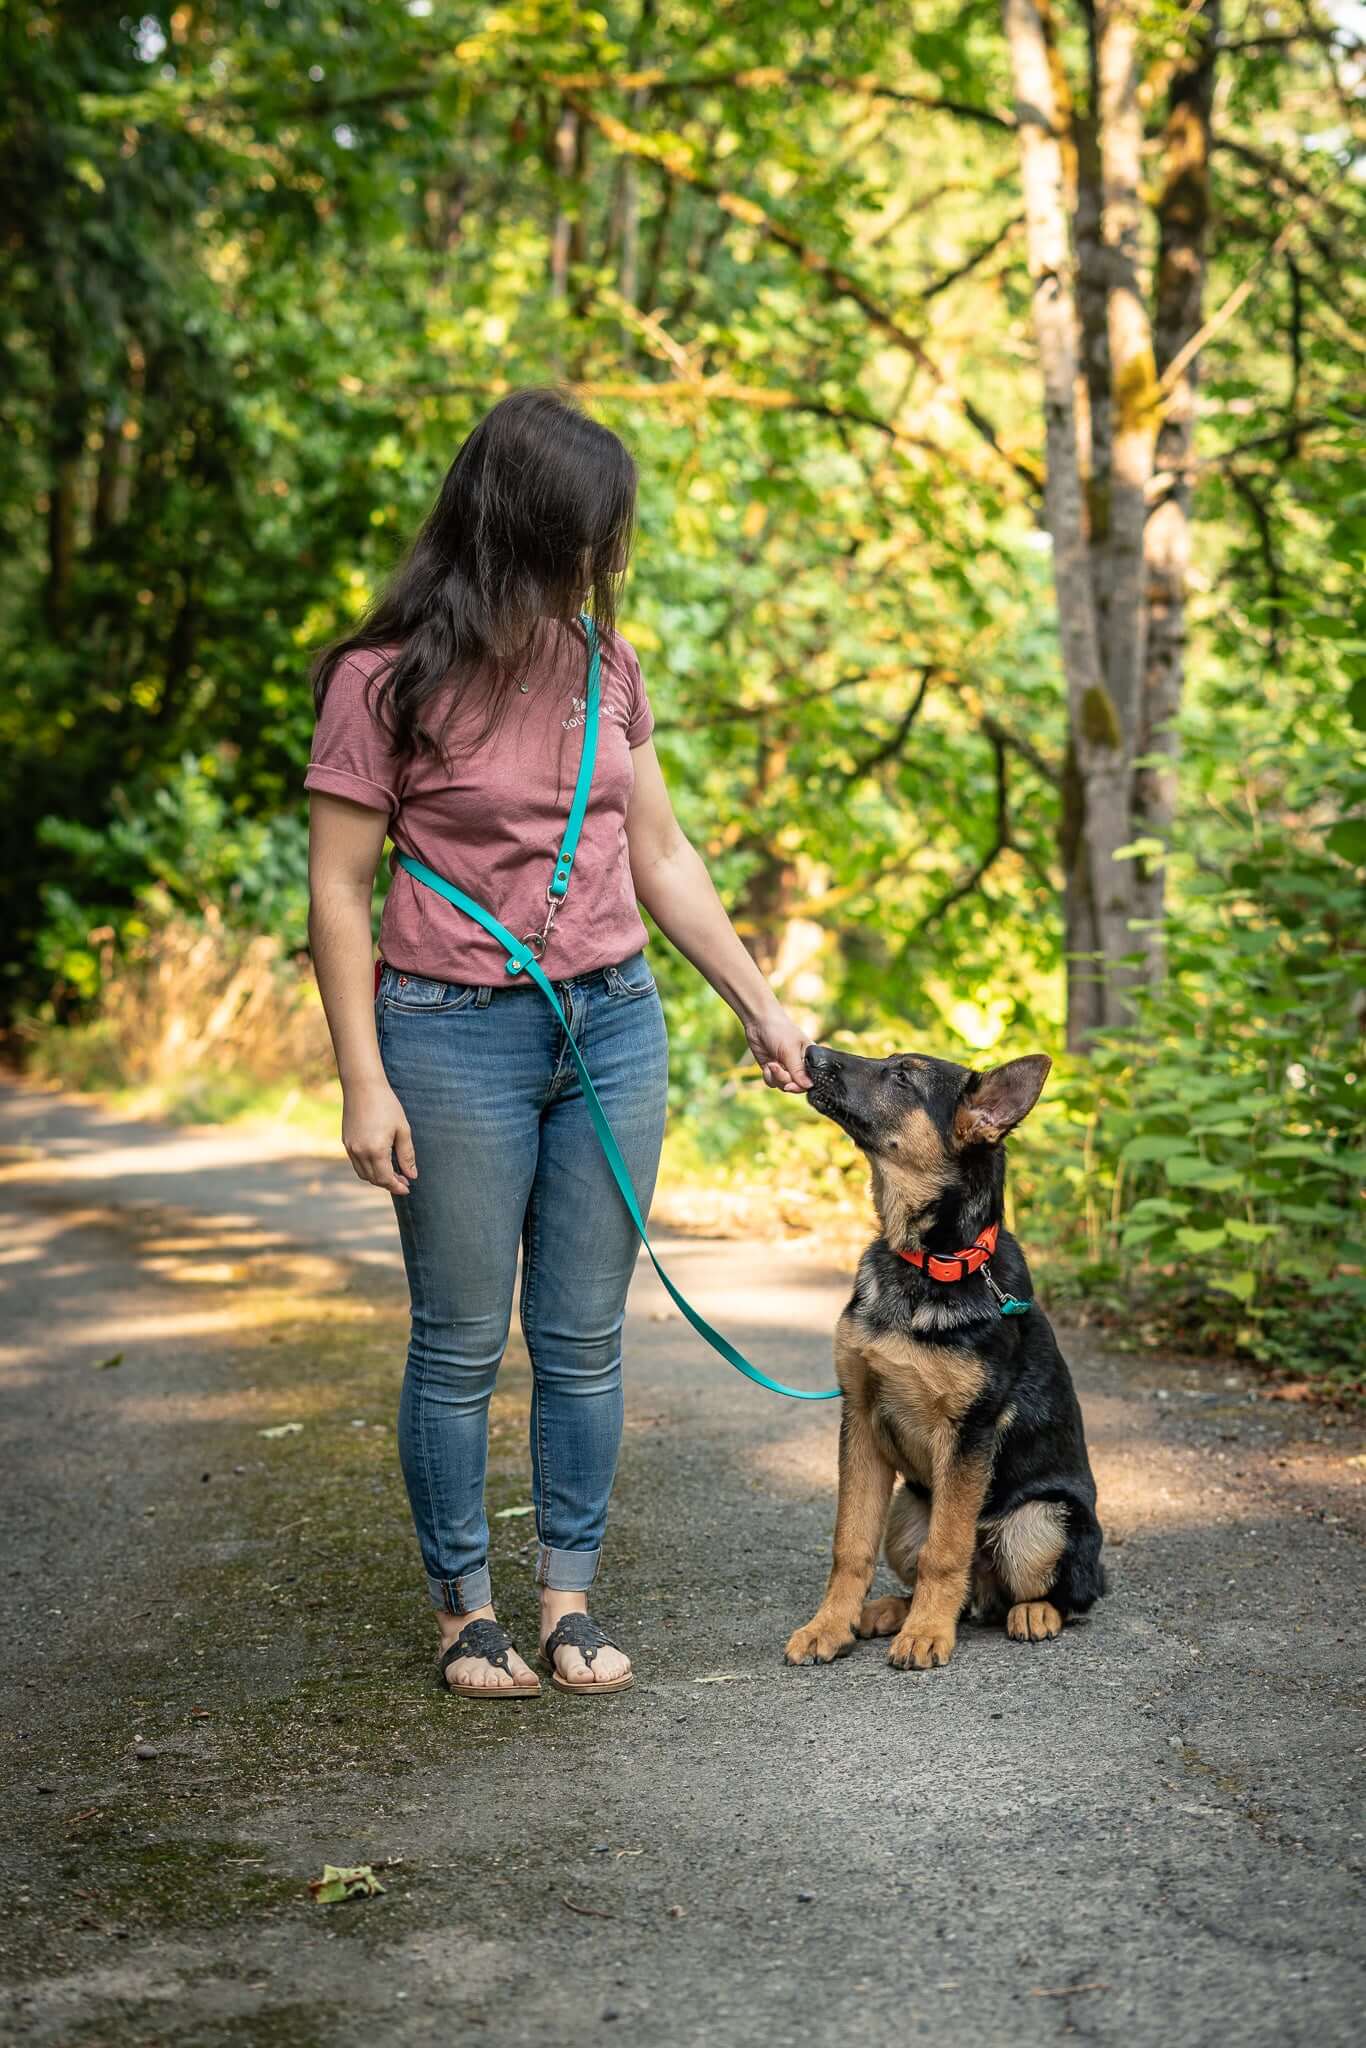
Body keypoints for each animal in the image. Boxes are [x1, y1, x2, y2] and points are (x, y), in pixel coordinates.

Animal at [786, 1048, 1105, 1671]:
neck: (928, 1261)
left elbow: (947, 1550)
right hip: (908, 1511)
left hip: (1040, 1522)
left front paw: (927, 1634)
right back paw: (892, 1610)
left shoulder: (968, 1434)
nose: (811, 1052)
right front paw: (828, 1627)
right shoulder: (860, 1422)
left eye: (903, 1077)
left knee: (1064, 1594)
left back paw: (1031, 1613)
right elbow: (849, 1546)